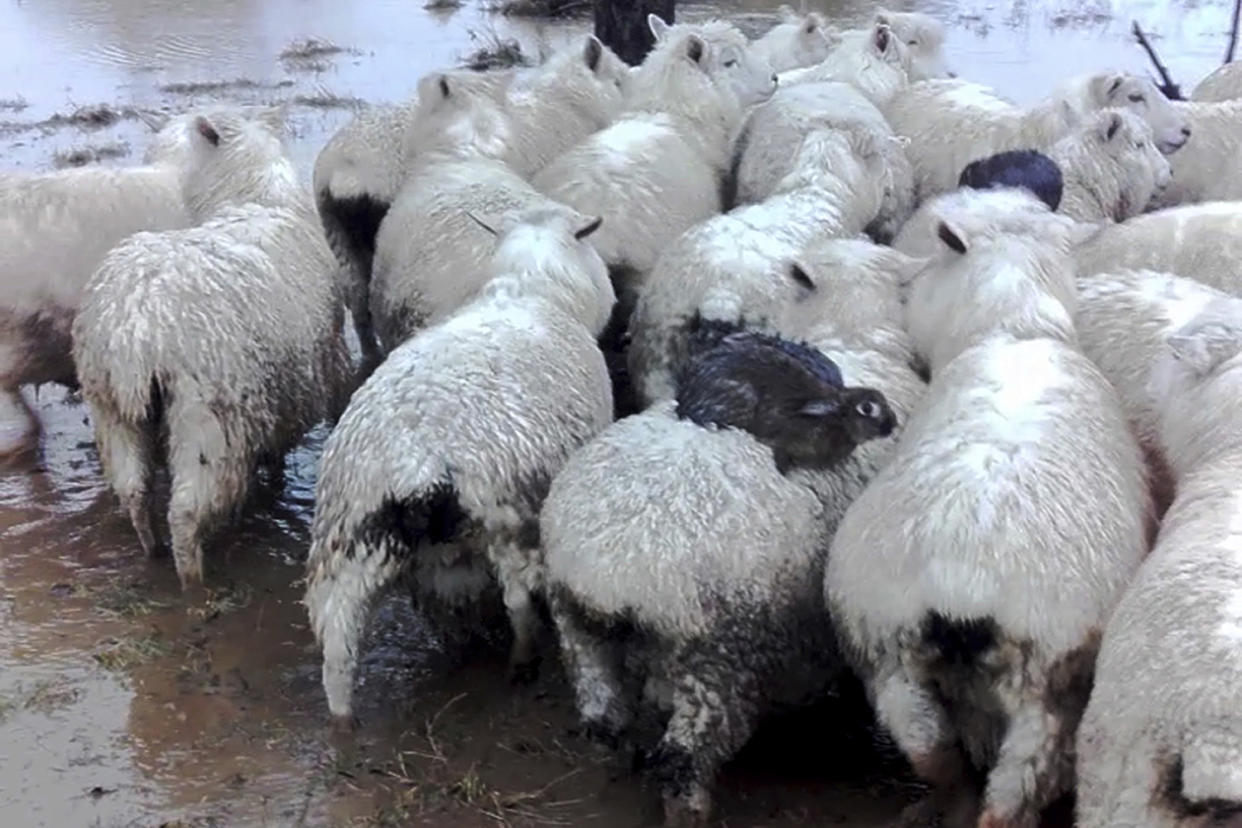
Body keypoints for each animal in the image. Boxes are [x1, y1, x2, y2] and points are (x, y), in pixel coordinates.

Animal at [72, 108, 350, 588]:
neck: (256, 197)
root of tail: (136, 335)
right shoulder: (304, 377)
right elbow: (280, 453)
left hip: (113, 411)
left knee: (135, 491)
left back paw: (153, 551)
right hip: (206, 420)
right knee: (185, 511)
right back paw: (193, 578)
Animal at [300, 203, 611, 720]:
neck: (526, 290)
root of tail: (412, 463)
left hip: (346, 541)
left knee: (337, 648)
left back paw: (345, 719)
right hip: (507, 518)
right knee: (519, 602)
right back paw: (522, 663)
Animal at [541, 330, 894, 828]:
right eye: (868, 409)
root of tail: (612, 569)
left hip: (578, 632)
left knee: (603, 716)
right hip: (714, 663)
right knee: (682, 761)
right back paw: (687, 809)